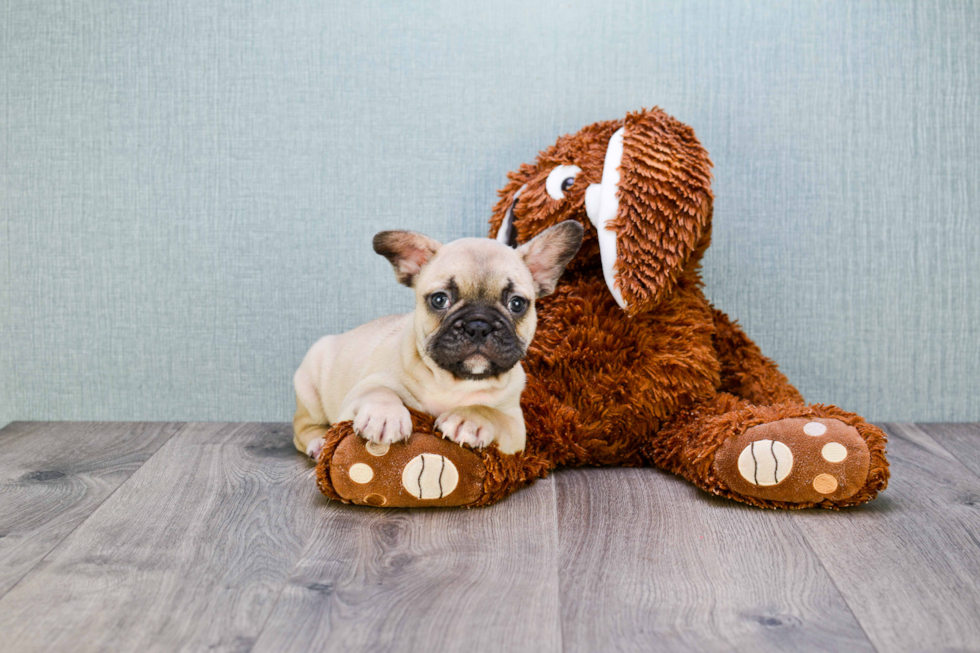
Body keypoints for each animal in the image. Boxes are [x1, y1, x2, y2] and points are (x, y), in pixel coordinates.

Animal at [290, 219, 580, 458]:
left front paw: (469, 419)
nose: (478, 325)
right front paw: (385, 416)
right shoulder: (364, 389)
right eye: (440, 300)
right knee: (302, 428)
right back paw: (318, 443)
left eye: (517, 304)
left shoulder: (516, 428)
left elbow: (491, 412)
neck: (454, 382)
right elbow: (378, 391)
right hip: (309, 389)